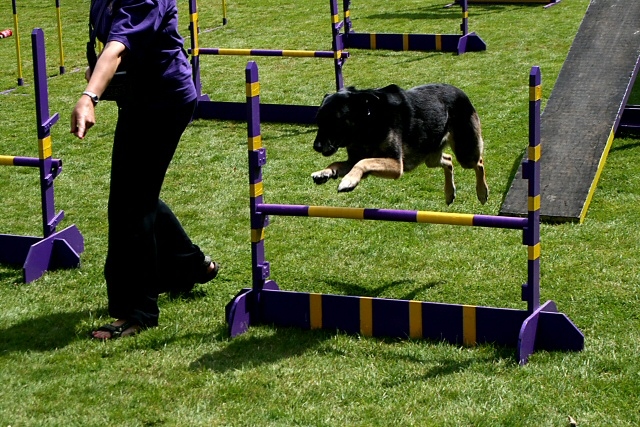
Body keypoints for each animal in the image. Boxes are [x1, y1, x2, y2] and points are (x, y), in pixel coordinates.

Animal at [312, 85, 488, 206]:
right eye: (318, 120)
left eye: (334, 121)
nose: (316, 147)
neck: (368, 120)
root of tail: (460, 92)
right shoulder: (353, 160)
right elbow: (338, 162)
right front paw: (324, 173)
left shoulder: (396, 165)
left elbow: (363, 162)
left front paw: (348, 180)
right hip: (431, 158)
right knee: (449, 160)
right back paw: (449, 193)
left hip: (465, 153)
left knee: (478, 163)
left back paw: (482, 193)